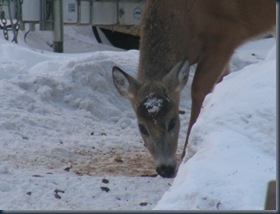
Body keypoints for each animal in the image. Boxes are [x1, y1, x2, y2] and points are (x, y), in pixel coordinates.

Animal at [111, 0, 276, 177]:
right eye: (142, 128)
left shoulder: (226, 36)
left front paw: (185, 156)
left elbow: (199, 89)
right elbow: (223, 80)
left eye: (173, 122)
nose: (165, 169)